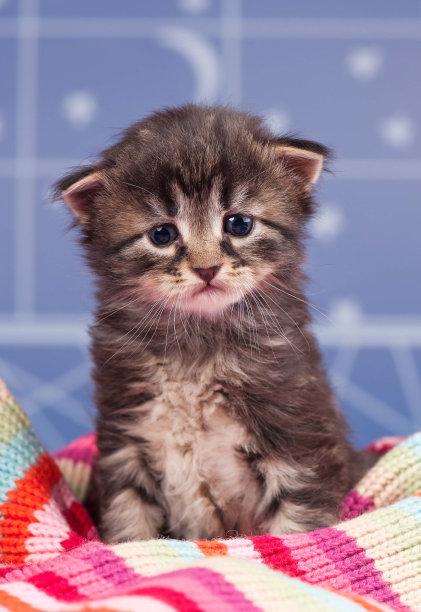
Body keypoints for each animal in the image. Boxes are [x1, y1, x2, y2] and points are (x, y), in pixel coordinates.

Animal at [55, 104, 371, 543]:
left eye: (238, 224)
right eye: (162, 234)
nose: (206, 268)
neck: (197, 347)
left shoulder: (299, 439)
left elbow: (297, 524)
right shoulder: (124, 438)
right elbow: (129, 519)